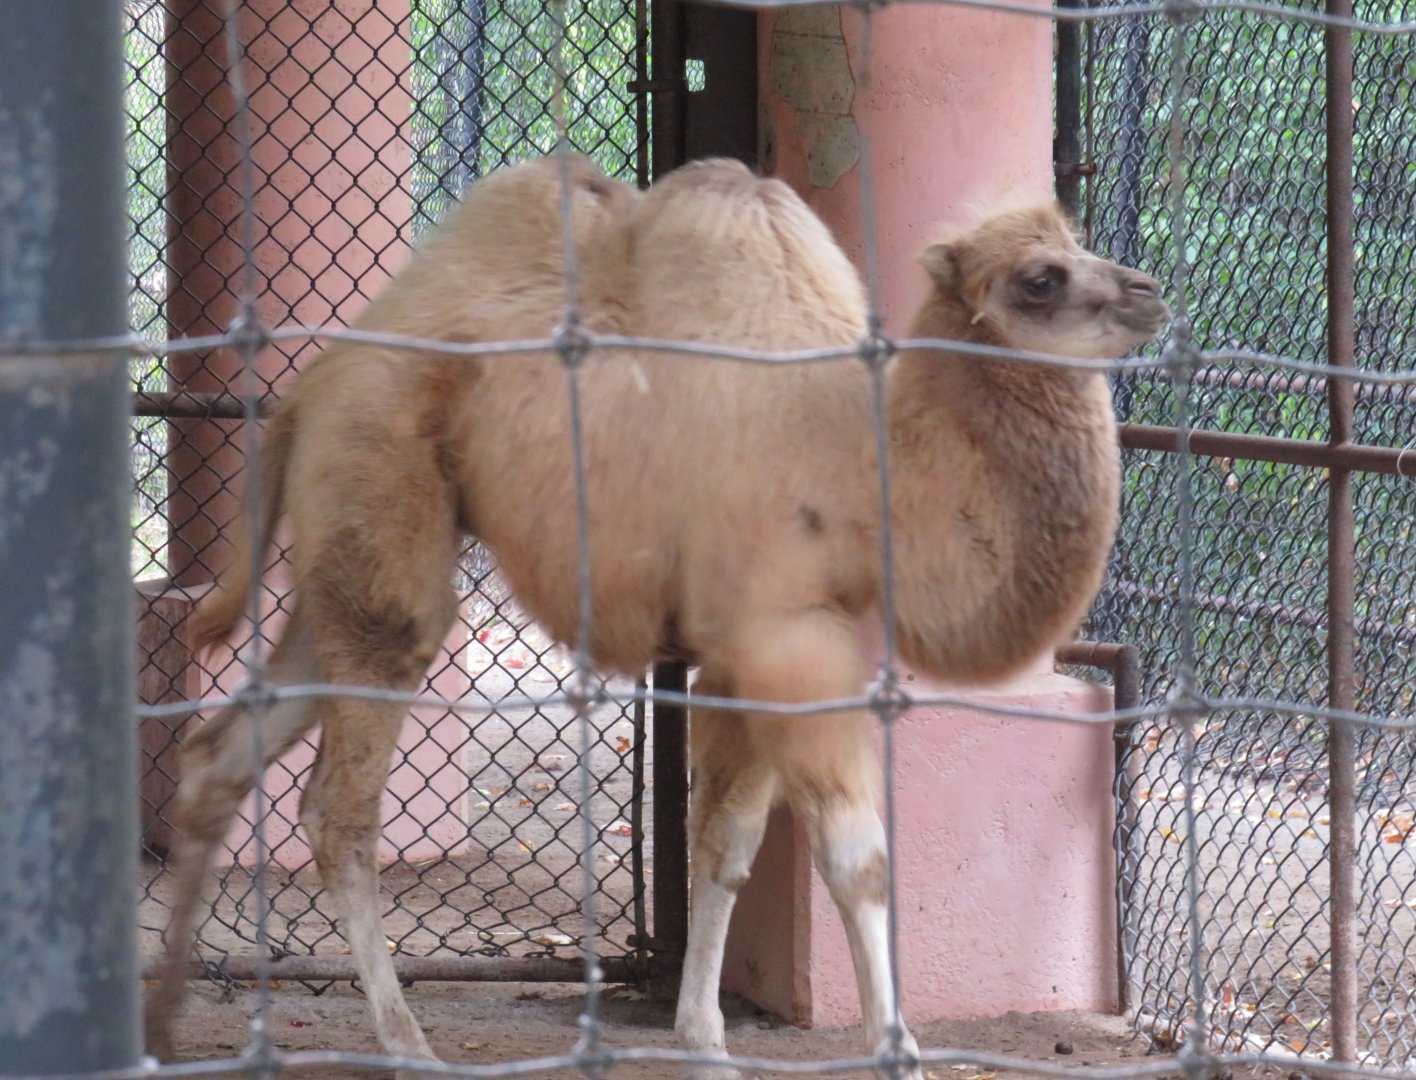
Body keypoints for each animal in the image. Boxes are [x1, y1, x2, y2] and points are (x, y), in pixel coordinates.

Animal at [144, 154, 1168, 1075]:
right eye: (1040, 278)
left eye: (1077, 239)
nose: (1150, 291)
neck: (867, 462)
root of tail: (307, 391)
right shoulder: (790, 640)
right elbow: (857, 857)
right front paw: (894, 1049)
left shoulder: (747, 651)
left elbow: (724, 845)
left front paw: (704, 1038)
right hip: (380, 493)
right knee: (339, 806)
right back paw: (406, 1043)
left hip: (337, 558)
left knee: (220, 754)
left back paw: (163, 1019)